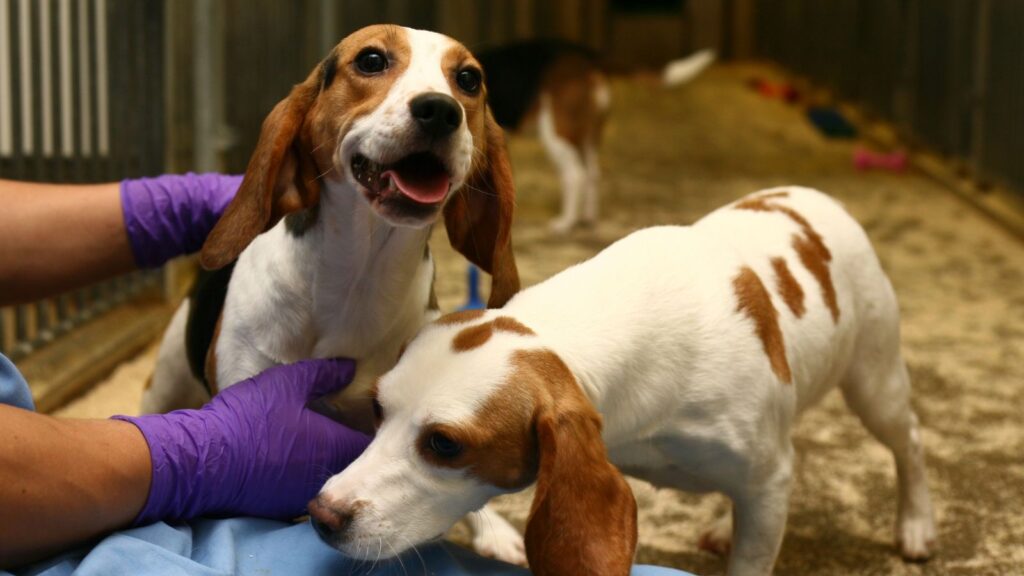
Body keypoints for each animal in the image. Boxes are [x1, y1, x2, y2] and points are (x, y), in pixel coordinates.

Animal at [142, 24, 528, 561]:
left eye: (469, 79)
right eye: (371, 60)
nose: (440, 109)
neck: (357, 280)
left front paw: (489, 524)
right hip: (164, 382)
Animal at [305, 186, 937, 569]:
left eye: (444, 445)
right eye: (378, 410)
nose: (322, 513)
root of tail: (819, 197)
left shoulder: (767, 473)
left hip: (873, 379)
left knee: (907, 440)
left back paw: (916, 523)